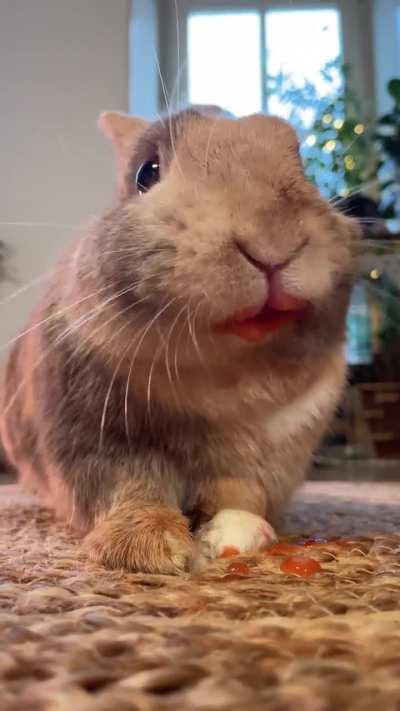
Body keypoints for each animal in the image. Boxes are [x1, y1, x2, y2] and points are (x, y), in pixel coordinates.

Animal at [0, 107, 360, 572]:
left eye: (304, 167)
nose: (272, 239)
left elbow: (241, 494)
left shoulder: (263, 459)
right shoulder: (93, 442)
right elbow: (129, 487)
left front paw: (233, 532)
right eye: (146, 172)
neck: (223, 378)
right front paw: (149, 549)